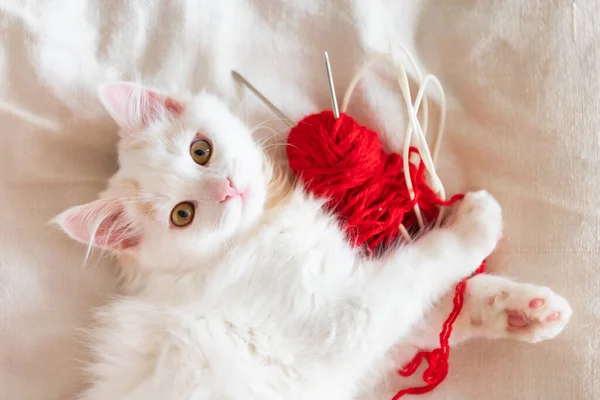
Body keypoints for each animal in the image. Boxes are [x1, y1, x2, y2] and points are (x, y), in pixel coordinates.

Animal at [55, 83, 572, 398]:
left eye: (200, 151)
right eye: (183, 215)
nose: (228, 190)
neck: (259, 228)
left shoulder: (359, 356)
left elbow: (437, 312)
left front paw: (523, 310)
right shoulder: (343, 321)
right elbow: (423, 266)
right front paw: (475, 223)